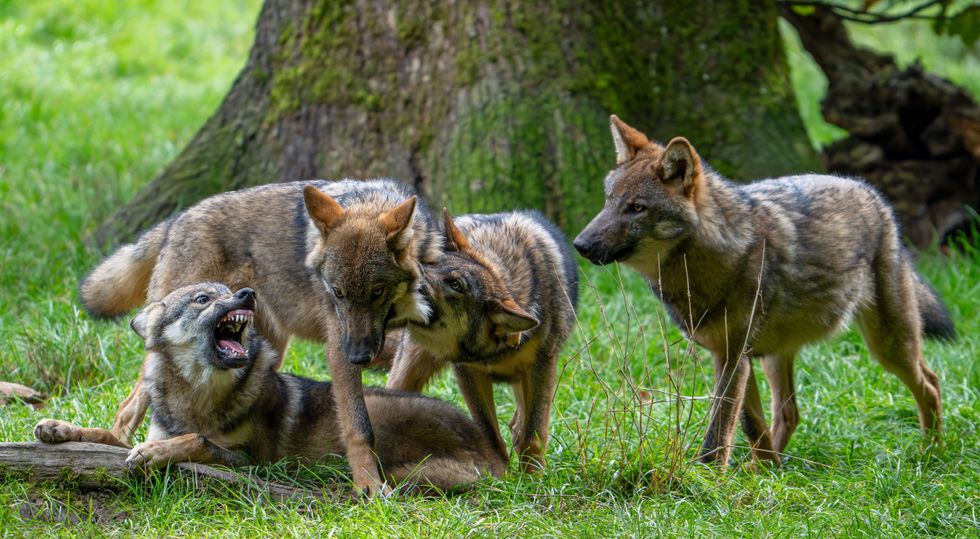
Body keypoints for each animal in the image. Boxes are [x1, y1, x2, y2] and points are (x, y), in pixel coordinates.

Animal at [36, 283, 505, 492]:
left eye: (229, 291)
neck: (199, 394)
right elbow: (106, 435)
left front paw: (154, 453)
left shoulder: (250, 462)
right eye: (204, 299)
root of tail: (494, 453)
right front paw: (58, 428)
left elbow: (196, 440)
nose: (247, 293)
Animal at [79, 179, 442, 494]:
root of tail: (175, 221)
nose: (359, 356)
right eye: (337, 293)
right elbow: (359, 425)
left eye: (376, 292)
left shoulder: (415, 347)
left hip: (270, 346)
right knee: (128, 406)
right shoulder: (339, 344)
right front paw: (369, 484)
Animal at [387, 209, 579, 471]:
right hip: (407, 372)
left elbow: (533, 434)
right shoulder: (468, 371)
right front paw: (499, 474)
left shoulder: (542, 367)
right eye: (428, 264)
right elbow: (489, 433)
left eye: (456, 284)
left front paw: (533, 477)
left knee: (519, 424)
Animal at [573, 116, 954, 465]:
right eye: (608, 201)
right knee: (790, 413)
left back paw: (932, 453)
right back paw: (770, 468)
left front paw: (707, 476)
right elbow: (750, 423)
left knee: (931, 383)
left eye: (637, 208)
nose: (580, 244)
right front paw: (764, 474)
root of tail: (871, 193)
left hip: (886, 346)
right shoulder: (733, 354)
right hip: (775, 355)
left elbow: (720, 428)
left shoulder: (733, 354)